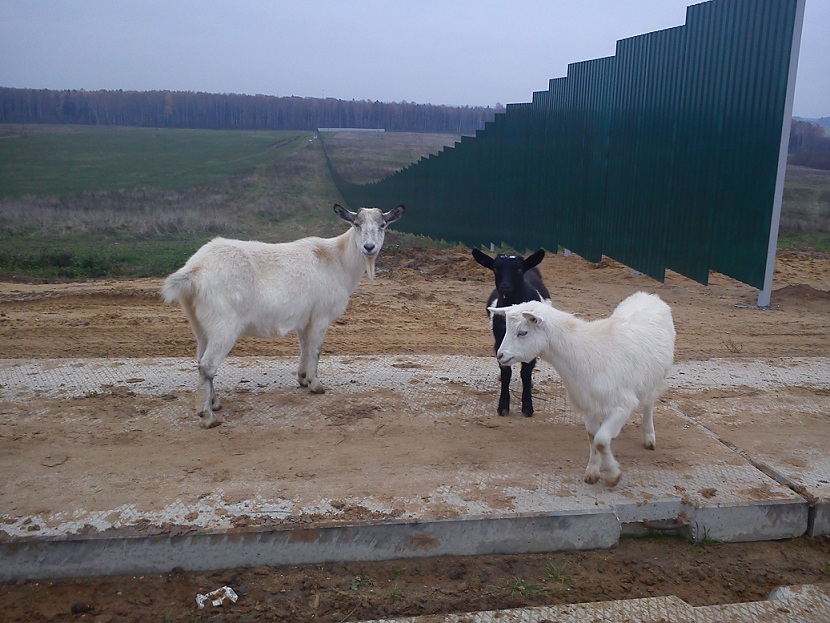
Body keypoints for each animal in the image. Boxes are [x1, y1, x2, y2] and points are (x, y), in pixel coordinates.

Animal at [162, 203, 405, 428]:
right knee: (208, 365)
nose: (369, 247)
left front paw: (303, 379)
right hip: (223, 325)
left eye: (383, 225)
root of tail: (194, 270)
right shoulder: (321, 315)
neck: (337, 259)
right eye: (356, 224)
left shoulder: (304, 318)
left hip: (200, 324)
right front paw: (316, 384)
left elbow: (305, 347)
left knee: (200, 360)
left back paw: (215, 402)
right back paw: (208, 416)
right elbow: (316, 349)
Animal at [472, 248, 550, 417]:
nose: (505, 286)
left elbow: (526, 372)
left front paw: (527, 407)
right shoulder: (499, 340)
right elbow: (506, 371)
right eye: (495, 268)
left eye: (519, 269)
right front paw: (503, 406)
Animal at [490, 292, 675, 486]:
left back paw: (649, 437)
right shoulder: (589, 403)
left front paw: (613, 475)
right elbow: (593, 437)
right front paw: (592, 471)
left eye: (522, 332)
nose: (500, 355)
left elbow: (601, 440)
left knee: (649, 403)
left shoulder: (622, 403)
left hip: (657, 376)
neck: (582, 351)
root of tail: (648, 296)